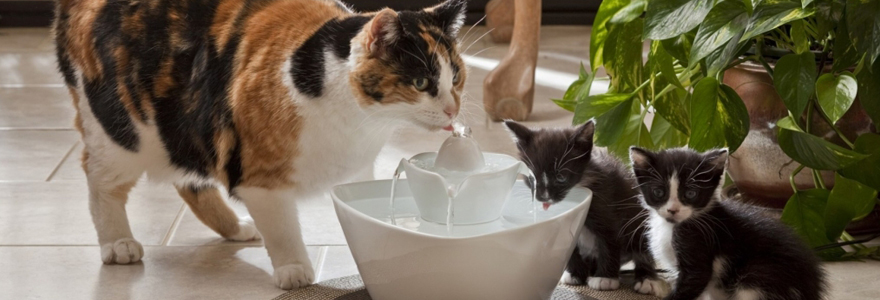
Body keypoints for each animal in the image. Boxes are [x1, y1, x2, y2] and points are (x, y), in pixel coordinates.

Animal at [54, 0, 468, 290]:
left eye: (456, 77)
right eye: (420, 83)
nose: (453, 108)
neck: (357, 121)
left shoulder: (357, 168)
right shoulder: (259, 178)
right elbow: (283, 228)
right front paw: (293, 269)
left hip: (186, 126)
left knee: (188, 178)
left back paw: (236, 227)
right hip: (120, 129)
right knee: (100, 180)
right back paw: (118, 243)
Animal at [502, 120, 668, 296]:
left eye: (561, 177)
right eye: (532, 178)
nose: (544, 197)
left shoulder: (606, 204)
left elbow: (609, 239)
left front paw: (605, 279)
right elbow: (570, 246)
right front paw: (576, 274)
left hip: (638, 219)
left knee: (643, 247)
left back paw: (647, 279)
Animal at [632, 148, 824, 300]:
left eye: (690, 193)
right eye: (659, 192)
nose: (672, 210)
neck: (674, 225)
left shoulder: (696, 243)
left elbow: (695, 279)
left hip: (760, 277)